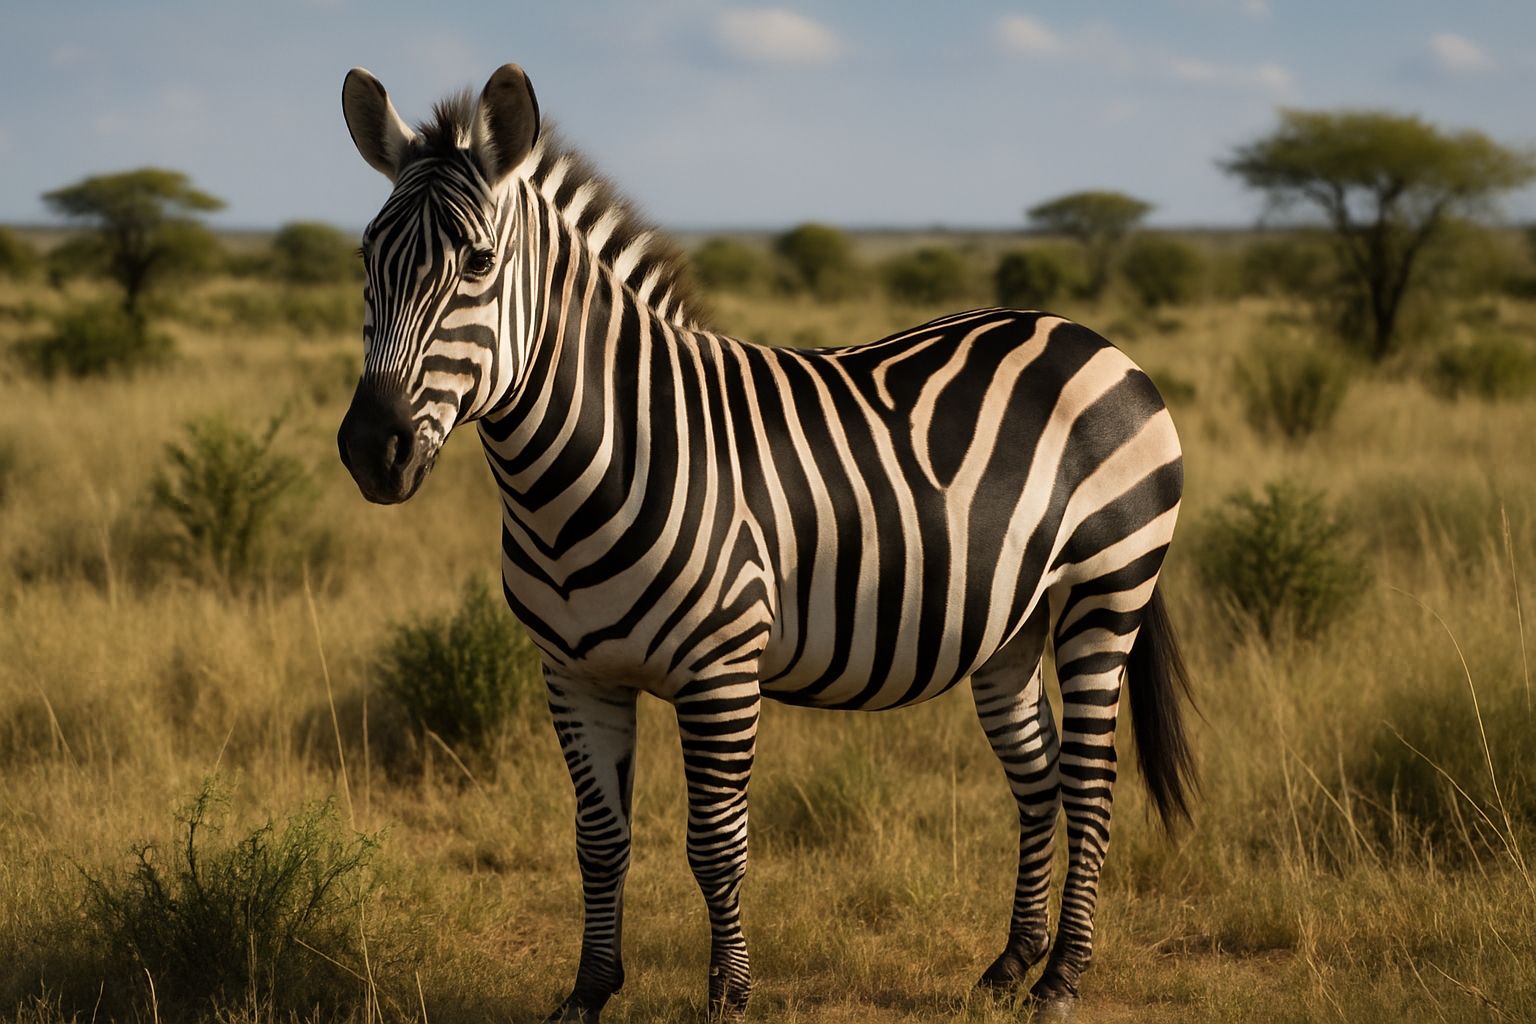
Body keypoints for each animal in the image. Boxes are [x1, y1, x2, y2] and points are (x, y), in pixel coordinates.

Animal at [337, 63, 1196, 1022]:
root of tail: (1087, 335)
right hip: (1013, 621)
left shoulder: (719, 668)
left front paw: (728, 996)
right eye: (366, 259)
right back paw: (1011, 965)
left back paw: (1060, 982)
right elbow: (599, 838)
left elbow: (715, 843)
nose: (370, 448)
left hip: (1106, 588)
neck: (582, 469)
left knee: (1089, 780)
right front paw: (588, 993)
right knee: (1038, 775)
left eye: (480, 265)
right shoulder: (574, 673)